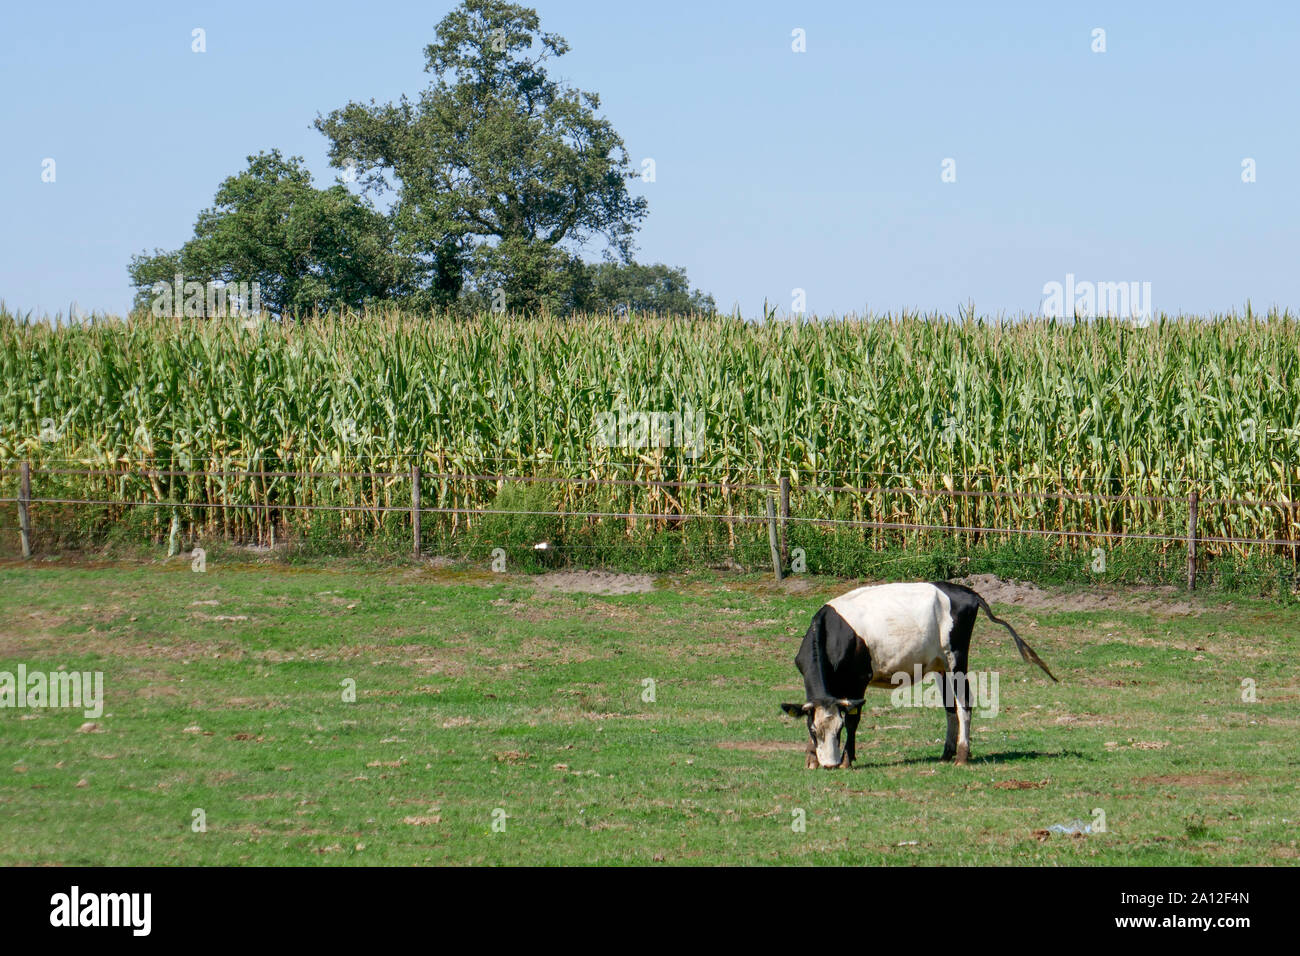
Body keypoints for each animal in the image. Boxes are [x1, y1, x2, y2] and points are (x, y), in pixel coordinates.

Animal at [780, 582, 1055, 770]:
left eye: (837, 730)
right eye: (814, 730)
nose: (830, 764)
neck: (831, 632)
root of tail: (965, 591)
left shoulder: (859, 679)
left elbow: (853, 720)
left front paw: (847, 759)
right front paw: (812, 757)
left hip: (956, 658)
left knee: (964, 703)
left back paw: (962, 755)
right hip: (941, 666)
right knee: (949, 706)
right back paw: (946, 754)